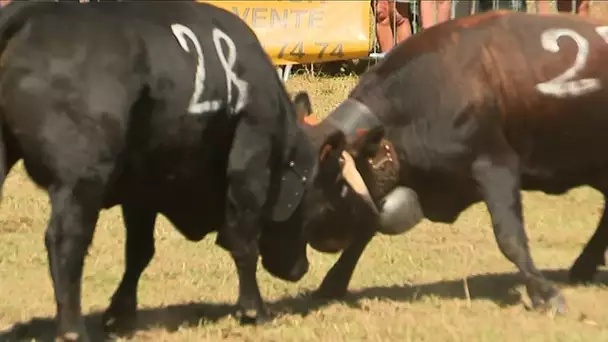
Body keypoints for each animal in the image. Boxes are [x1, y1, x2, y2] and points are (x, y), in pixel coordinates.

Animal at [0, 1, 418, 340]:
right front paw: (253, 309)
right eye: (340, 188)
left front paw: (121, 313)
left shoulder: (145, 186)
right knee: (65, 243)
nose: (302, 268)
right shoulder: (248, 165)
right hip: (80, 181)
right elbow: (244, 240)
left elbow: (140, 251)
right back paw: (71, 329)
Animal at [302, 10, 608, 316]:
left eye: (332, 184)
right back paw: (583, 266)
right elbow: (367, 226)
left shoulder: (496, 165)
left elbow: (509, 237)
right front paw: (332, 283)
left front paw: (544, 292)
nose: (319, 238)